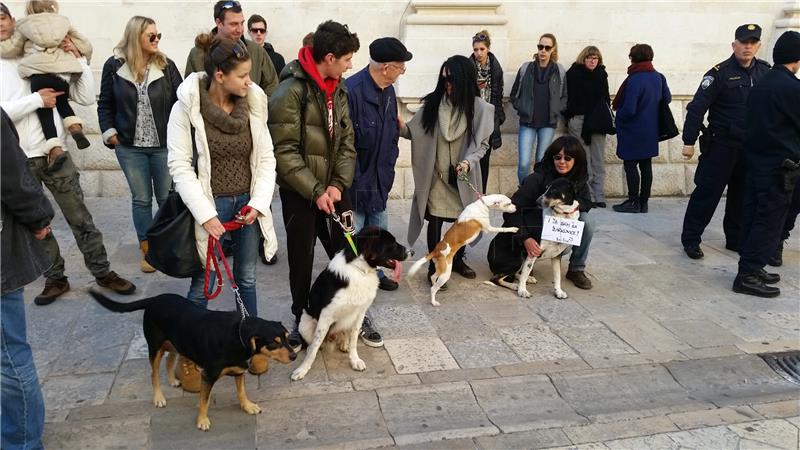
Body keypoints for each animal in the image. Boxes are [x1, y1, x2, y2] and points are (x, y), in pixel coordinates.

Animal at [90, 290, 296, 430]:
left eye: (287, 337)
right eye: (274, 343)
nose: (294, 355)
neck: (238, 336)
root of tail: (154, 299)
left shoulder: (239, 370)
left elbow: (241, 392)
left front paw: (248, 406)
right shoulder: (208, 376)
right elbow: (204, 400)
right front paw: (202, 420)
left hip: (176, 342)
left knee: (170, 359)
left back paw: (173, 380)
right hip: (155, 347)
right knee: (154, 373)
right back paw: (158, 397)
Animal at [290, 229, 410, 380]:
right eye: (392, 244)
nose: (412, 252)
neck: (360, 269)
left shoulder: (360, 313)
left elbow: (353, 340)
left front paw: (354, 360)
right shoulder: (325, 316)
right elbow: (314, 347)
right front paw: (303, 369)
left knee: (345, 334)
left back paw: (344, 343)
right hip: (305, 324)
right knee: (314, 343)